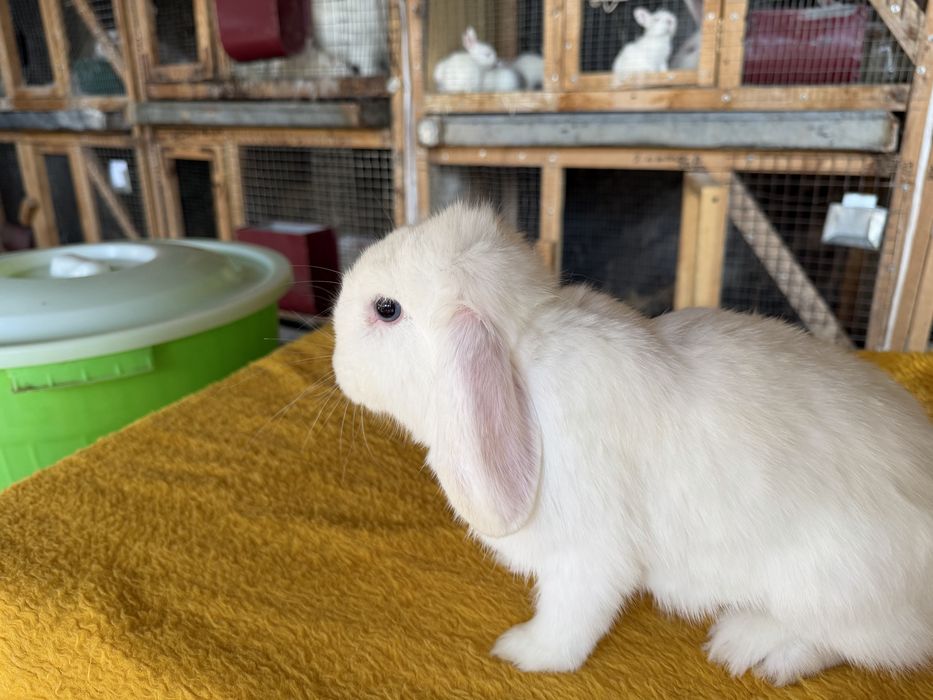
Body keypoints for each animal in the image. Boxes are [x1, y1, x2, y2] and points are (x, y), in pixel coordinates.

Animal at [331, 203, 933, 684]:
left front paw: (523, 652)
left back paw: (751, 646)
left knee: (853, 644)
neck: (524, 356)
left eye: (387, 309)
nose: (337, 368)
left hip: (833, 586)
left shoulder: (589, 556)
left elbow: (569, 621)